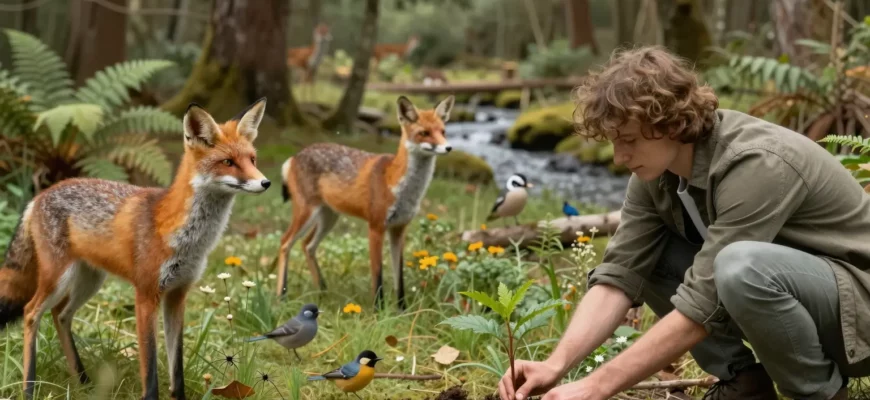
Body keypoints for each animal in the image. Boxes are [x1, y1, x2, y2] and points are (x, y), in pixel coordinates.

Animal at [0, 98, 271, 399]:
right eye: (228, 162)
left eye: (252, 160)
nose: (266, 183)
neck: (187, 239)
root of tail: (39, 195)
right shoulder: (146, 295)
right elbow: (150, 369)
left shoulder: (178, 294)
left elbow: (176, 367)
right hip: (57, 278)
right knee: (30, 313)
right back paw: (29, 387)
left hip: (89, 280)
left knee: (60, 314)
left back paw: (82, 381)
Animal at [275, 95, 454, 311]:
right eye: (424, 133)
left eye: (442, 132)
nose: (448, 147)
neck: (400, 186)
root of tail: (295, 155)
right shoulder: (376, 227)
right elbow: (377, 276)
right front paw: (378, 310)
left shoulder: (399, 229)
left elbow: (399, 277)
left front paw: (402, 309)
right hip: (307, 213)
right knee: (285, 243)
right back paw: (281, 297)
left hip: (329, 217)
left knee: (307, 245)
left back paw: (322, 292)